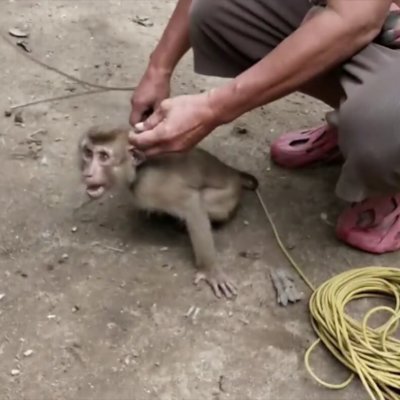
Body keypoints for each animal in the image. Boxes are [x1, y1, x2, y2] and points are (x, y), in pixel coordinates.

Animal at [77, 126, 260, 298]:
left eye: (103, 157)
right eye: (88, 153)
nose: (88, 174)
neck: (138, 170)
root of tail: (232, 173)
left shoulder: (150, 185)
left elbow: (192, 203)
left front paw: (210, 270)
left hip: (226, 198)